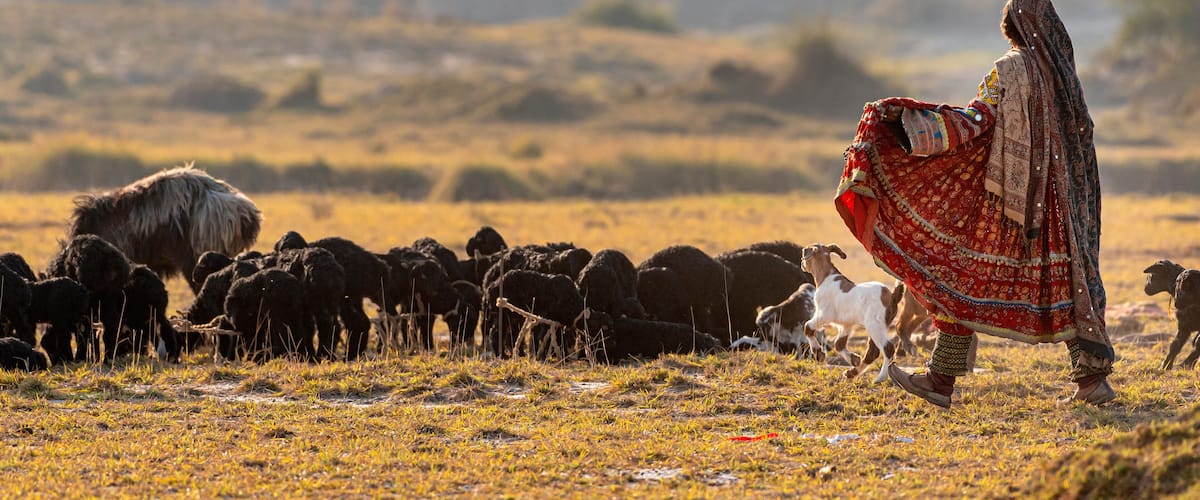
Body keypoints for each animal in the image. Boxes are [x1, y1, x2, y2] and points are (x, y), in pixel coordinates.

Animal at [800, 243, 904, 383]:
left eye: (804, 251)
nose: (802, 264)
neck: (826, 277)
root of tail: (893, 296)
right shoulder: (846, 324)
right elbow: (838, 344)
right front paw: (854, 359)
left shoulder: (824, 314)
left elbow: (808, 327)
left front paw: (818, 353)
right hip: (878, 326)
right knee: (872, 351)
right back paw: (852, 373)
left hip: (874, 325)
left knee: (887, 348)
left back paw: (880, 377)